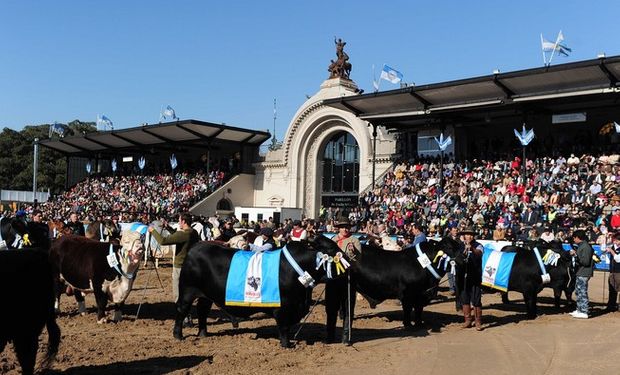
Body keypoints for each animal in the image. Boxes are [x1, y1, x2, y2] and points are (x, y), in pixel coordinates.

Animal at [174, 236, 346, 348]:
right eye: (331, 248)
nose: (346, 258)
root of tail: (196, 247)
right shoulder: (283, 308)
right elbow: (284, 328)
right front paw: (287, 345)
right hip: (187, 291)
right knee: (181, 310)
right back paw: (178, 335)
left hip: (206, 296)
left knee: (202, 311)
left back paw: (203, 334)